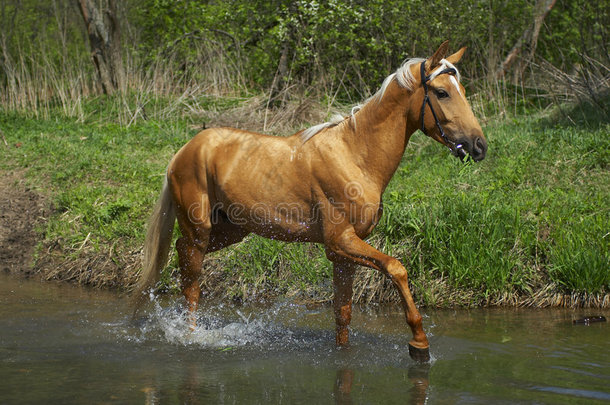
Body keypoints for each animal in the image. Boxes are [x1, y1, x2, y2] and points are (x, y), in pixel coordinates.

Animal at [133, 41, 484, 362]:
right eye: (442, 92)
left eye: (462, 89)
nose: (478, 146)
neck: (355, 156)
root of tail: (184, 151)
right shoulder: (340, 242)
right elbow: (397, 268)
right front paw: (419, 344)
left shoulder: (344, 255)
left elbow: (343, 314)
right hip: (200, 230)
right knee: (190, 279)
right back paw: (190, 335)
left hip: (231, 231)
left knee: (180, 253)